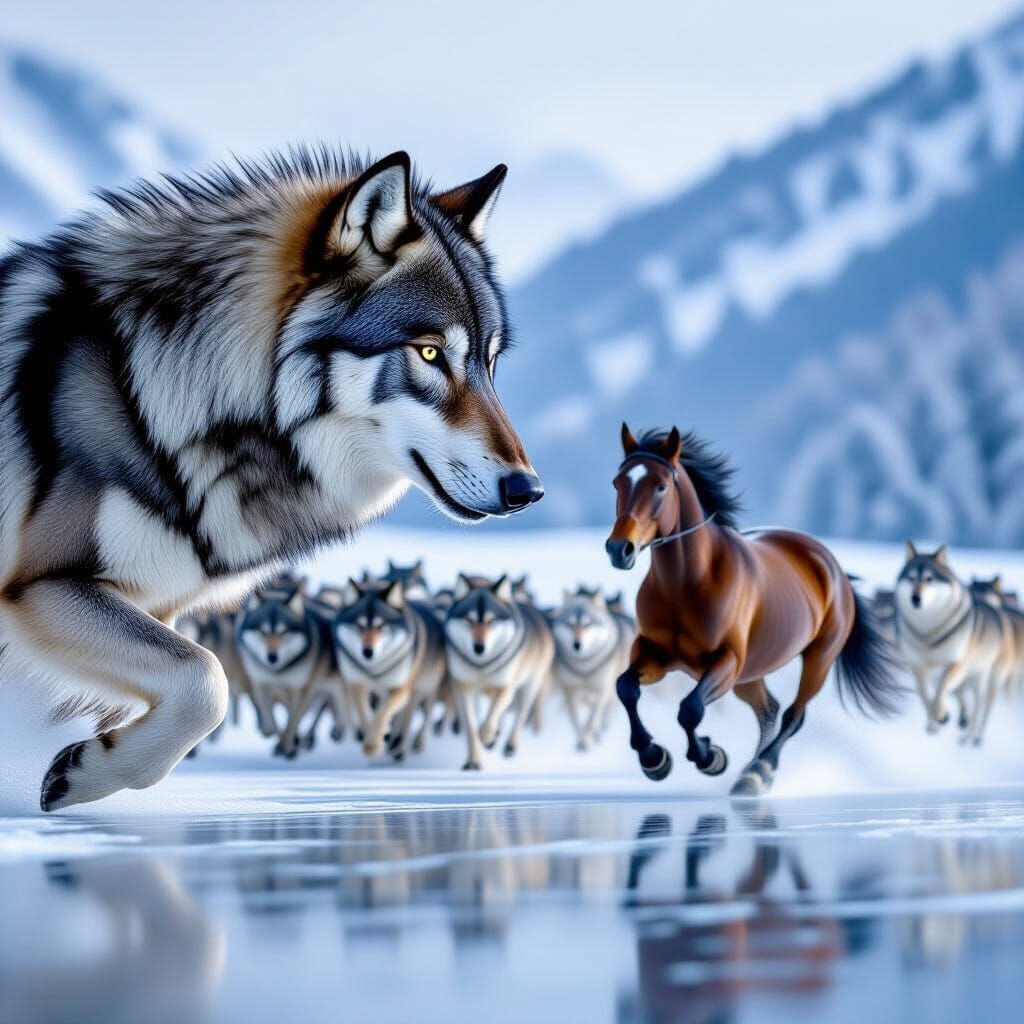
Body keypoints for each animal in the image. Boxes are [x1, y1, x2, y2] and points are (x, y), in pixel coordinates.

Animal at [333, 578, 446, 759]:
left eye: (381, 626)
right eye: (359, 625)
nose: (367, 652)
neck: (375, 669)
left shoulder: (400, 688)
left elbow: (382, 713)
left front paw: (373, 746)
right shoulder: (357, 685)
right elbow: (366, 716)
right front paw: (373, 739)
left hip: (424, 688)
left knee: (418, 715)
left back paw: (405, 743)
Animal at [444, 574, 554, 768]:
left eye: (491, 621)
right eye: (469, 620)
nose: (479, 647)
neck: (482, 666)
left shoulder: (505, 686)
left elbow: (492, 715)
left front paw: (487, 735)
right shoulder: (463, 688)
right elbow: (471, 727)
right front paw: (474, 761)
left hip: (529, 688)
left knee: (519, 717)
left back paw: (509, 745)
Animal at [551, 587, 634, 750]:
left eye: (587, 624)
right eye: (570, 624)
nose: (577, 644)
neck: (584, 668)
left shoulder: (602, 692)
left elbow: (592, 720)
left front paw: (588, 739)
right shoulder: (570, 692)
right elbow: (576, 722)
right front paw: (583, 741)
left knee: (606, 713)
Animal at [605, 424, 899, 795]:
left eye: (660, 486)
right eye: (617, 483)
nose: (620, 549)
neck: (686, 584)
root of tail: (831, 566)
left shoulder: (726, 661)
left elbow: (690, 709)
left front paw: (710, 757)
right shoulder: (656, 653)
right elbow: (626, 688)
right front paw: (654, 758)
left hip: (818, 658)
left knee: (793, 715)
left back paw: (757, 772)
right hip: (751, 674)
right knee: (768, 710)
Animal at [896, 544, 1007, 743]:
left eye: (929, 579)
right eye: (911, 578)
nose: (915, 598)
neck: (928, 635)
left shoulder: (956, 664)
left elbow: (940, 692)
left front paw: (939, 715)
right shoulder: (918, 667)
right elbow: (926, 697)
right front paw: (934, 722)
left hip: (982, 679)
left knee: (979, 707)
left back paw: (971, 736)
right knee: (960, 698)